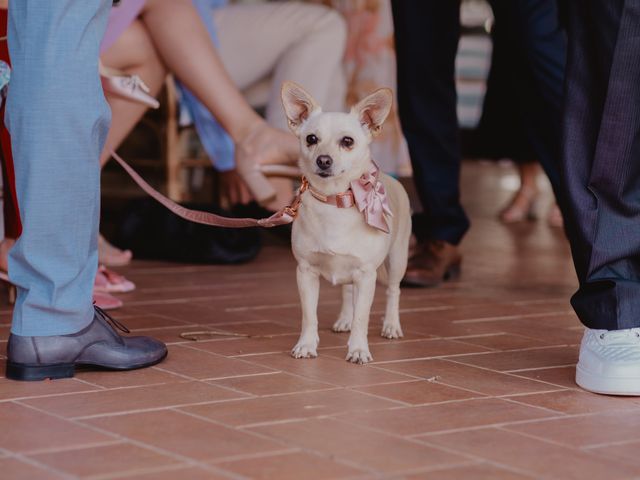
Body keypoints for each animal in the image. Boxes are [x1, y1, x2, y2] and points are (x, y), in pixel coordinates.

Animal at [282, 80, 412, 364]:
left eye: (347, 141)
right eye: (311, 139)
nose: (323, 160)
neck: (334, 202)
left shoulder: (366, 275)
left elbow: (362, 317)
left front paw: (359, 349)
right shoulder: (306, 273)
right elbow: (309, 315)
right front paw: (306, 345)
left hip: (397, 259)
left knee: (393, 291)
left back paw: (391, 325)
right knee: (347, 291)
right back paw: (344, 320)